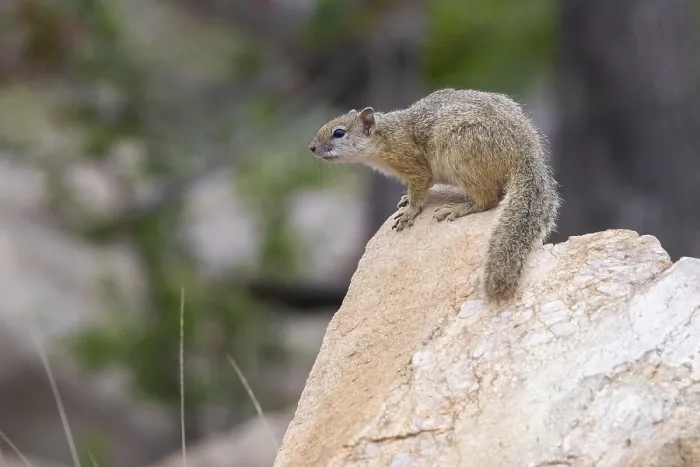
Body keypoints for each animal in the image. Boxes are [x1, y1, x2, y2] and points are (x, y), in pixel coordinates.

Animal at [307, 88, 561, 303]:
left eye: (339, 132)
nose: (311, 148)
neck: (385, 136)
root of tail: (525, 152)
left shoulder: (414, 165)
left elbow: (420, 190)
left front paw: (410, 212)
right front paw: (406, 199)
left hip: (461, 155)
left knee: (487, 198)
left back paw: (457, 209)